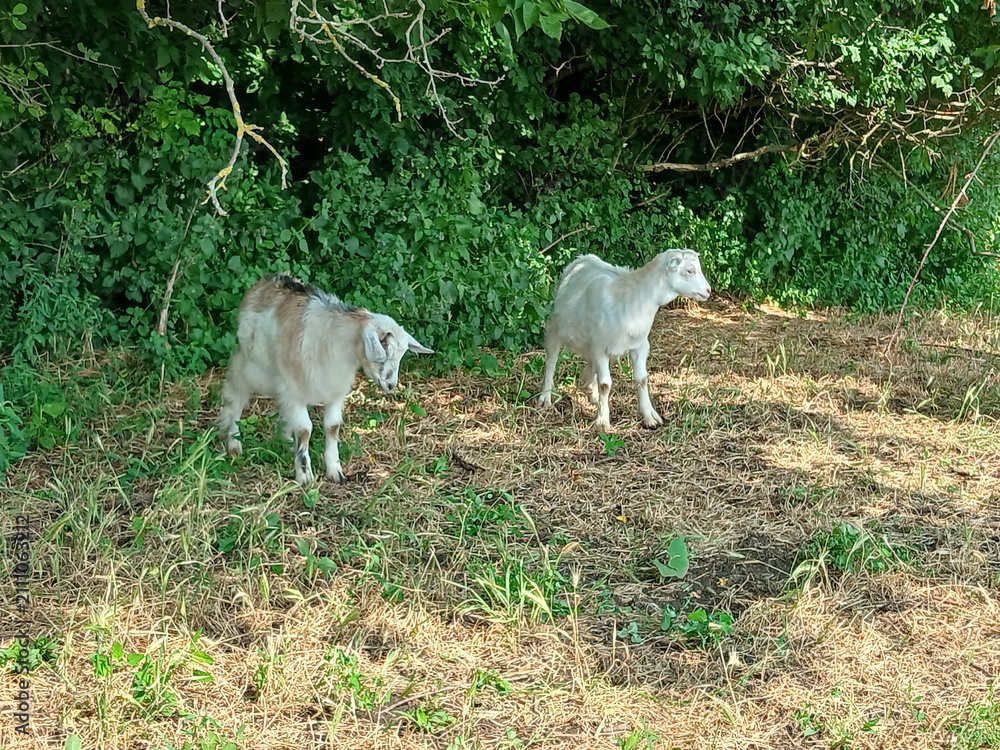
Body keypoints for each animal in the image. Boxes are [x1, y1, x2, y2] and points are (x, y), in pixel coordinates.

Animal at [217, 273, 433, 486]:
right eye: (384, 349)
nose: (390, 385)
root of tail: (268, 280)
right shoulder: (295, 390)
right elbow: (305, 430)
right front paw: (305, 477)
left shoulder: (334, 392)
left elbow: (332, 427)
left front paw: (335, 471)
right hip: (249, 366)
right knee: (236, 398)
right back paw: (234, 443)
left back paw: (287, 442)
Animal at [537, 249, 711, 430]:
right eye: (690, 271)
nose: (708, 291)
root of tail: (582, 259)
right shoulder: (601, 348)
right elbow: (605, 384)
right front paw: (603, 422)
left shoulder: (640, 346)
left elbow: (642, 379)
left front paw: (649, 418)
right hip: (554, 327)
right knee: (551, 361)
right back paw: (545, 398)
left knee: (590, 365)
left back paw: (591, 392)